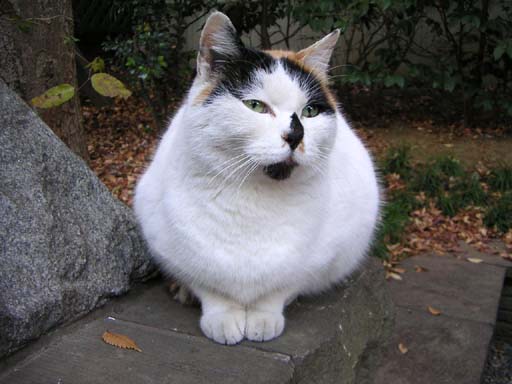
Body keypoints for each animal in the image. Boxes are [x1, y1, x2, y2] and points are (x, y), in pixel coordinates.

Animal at [134, 11, 382, 344]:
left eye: (310, 111)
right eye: (255, 106)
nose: (296, 135)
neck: (253, 199)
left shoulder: (321, 258)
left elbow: (280, 288)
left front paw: (264, 318)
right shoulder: (170, 245)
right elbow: (209, 286)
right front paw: (222, 317)